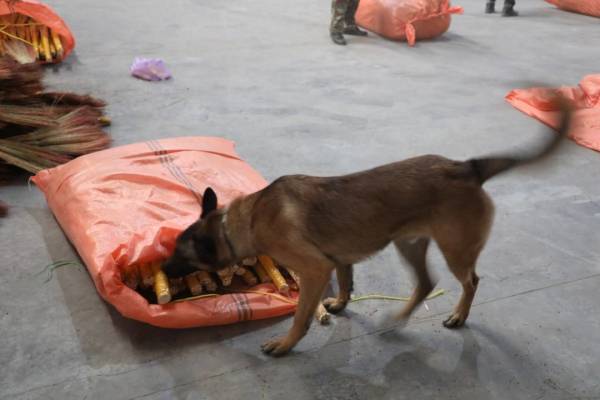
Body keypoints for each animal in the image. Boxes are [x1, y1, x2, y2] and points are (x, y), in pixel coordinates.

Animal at [162, 103, 568, 356]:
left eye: (180, 254)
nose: (163, 268)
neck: (244, 219)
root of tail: (466, 167)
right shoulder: (338, 260)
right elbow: (345, 283)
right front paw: (341, 304)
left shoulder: (314, 268)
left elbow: (301, 315)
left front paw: (287, 344)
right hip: (409, 244)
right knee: (426, 283)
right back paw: (399, 320)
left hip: (455, 250)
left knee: (470, 281)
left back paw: (457, 316)